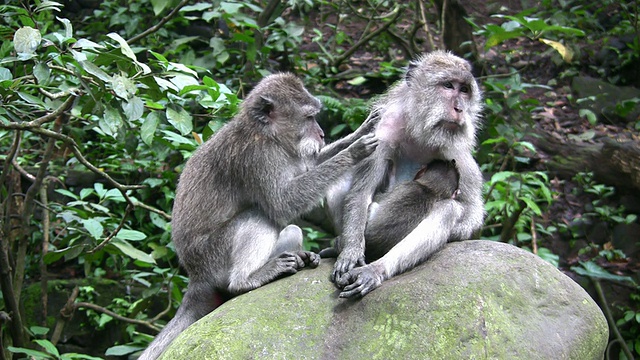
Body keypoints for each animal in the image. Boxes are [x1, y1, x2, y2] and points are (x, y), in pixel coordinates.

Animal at [140, 74, 378, 360]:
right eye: (309, 117)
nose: (321, 133)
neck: (267, 134)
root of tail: (195, 276)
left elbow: (308, 168)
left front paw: (361, 131)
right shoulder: (258, 157)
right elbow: (283, 203)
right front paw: (354, 151)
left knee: (291, 229)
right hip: (214, 258)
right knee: (259, 216)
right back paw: (245, 281)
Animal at [328, 50, 482, 298]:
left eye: (465, 90)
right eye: (448, 86)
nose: (459, 109)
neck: (421, 131)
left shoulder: (458, 153)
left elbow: (473, 214)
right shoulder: (382, 132)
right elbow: (361, 193)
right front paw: (350, 250)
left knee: (448, 209)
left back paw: (376, 268)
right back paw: (341, 244)